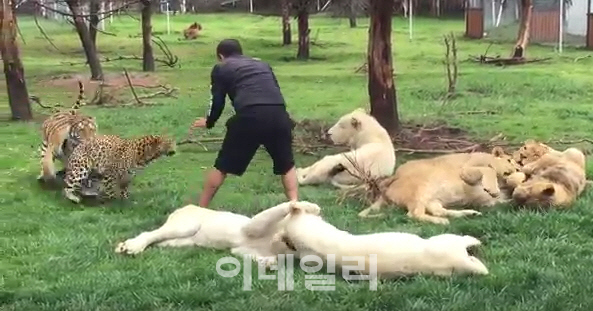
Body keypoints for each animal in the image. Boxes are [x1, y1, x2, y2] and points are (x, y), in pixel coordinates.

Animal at [114, 202, 322, 268]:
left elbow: (255, 256)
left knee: (159, 241)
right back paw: (130, 247)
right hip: (184, 227)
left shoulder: (239, 249)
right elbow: (280, 208)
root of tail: (186, 206)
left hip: (182, 242)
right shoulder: (251, 226)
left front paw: (269, 263)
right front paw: (310, 207)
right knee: (150, 233)